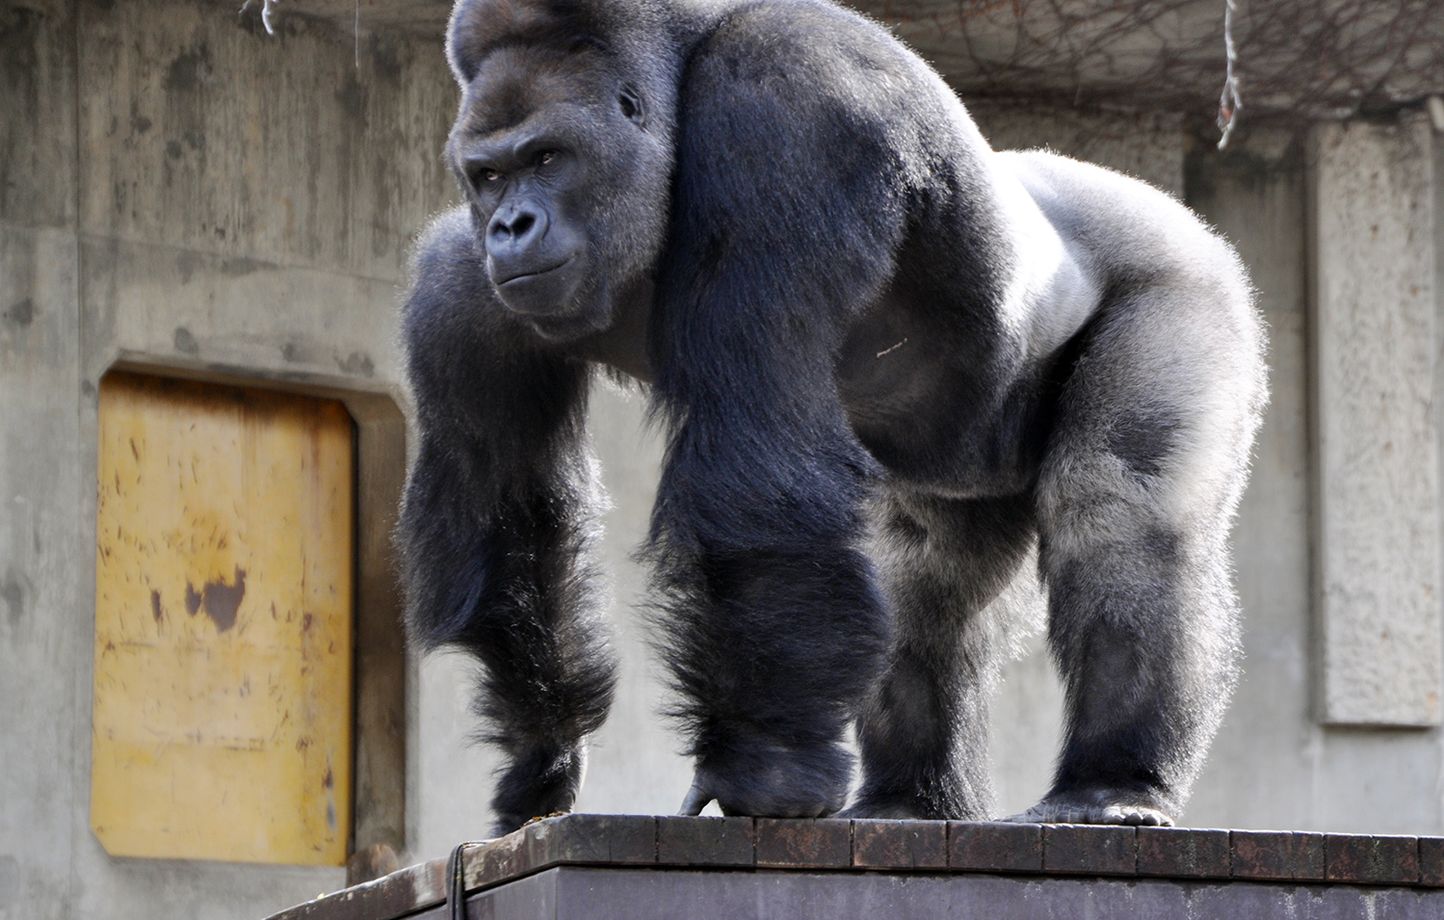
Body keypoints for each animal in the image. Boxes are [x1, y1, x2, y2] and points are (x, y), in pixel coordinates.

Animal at [395, 0, 1264, 831]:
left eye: (548, 157)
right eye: (488, 174)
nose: (510, 226)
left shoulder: (787, 105)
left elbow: (759, 474)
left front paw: (765, 765)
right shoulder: (459, 289)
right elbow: (515, 518)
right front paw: (541, 757)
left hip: (1187, 276)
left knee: (1121, 510)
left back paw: (1111, 782)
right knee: (922, 576)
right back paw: (910, 796)